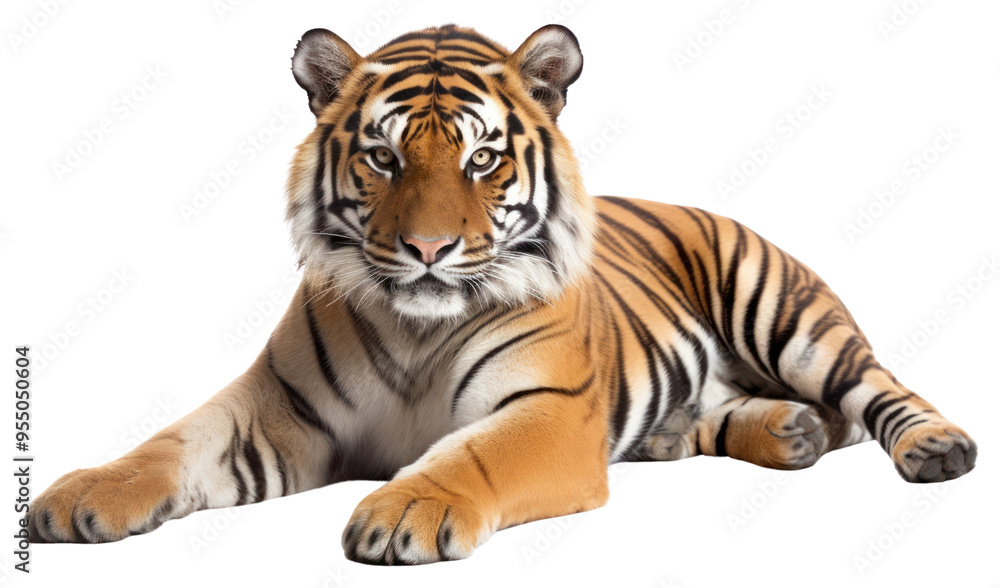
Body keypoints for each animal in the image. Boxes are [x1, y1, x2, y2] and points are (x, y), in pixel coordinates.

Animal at [29, 24, 977, 565]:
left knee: (877, 390)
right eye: (383, 157)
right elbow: (170, 443)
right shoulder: (276, 407)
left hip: (785, 310)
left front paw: (405, 508)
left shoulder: (551, 409)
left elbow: (471, 455)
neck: (416, 331)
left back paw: (934, 447)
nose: (428, 249)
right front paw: (81, 497)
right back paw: (780, 432)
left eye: (482, 158)